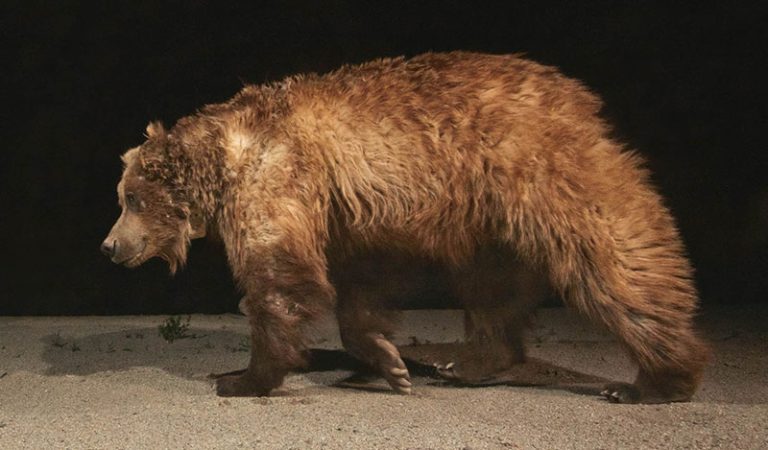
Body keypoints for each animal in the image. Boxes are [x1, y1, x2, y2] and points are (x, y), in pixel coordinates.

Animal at [101, 51, 709, 403]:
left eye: (130, 198)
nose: (109, 245)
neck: (223, 159)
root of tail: (578, 97)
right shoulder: (350, 212)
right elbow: (360, 286)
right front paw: (389, 363)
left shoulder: (278, 174)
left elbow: (279, 279)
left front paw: (244, 377)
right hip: (491, 220)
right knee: (491, 288)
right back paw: (470, 361)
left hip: (540, 169)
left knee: (615, 260)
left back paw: (654, 378)